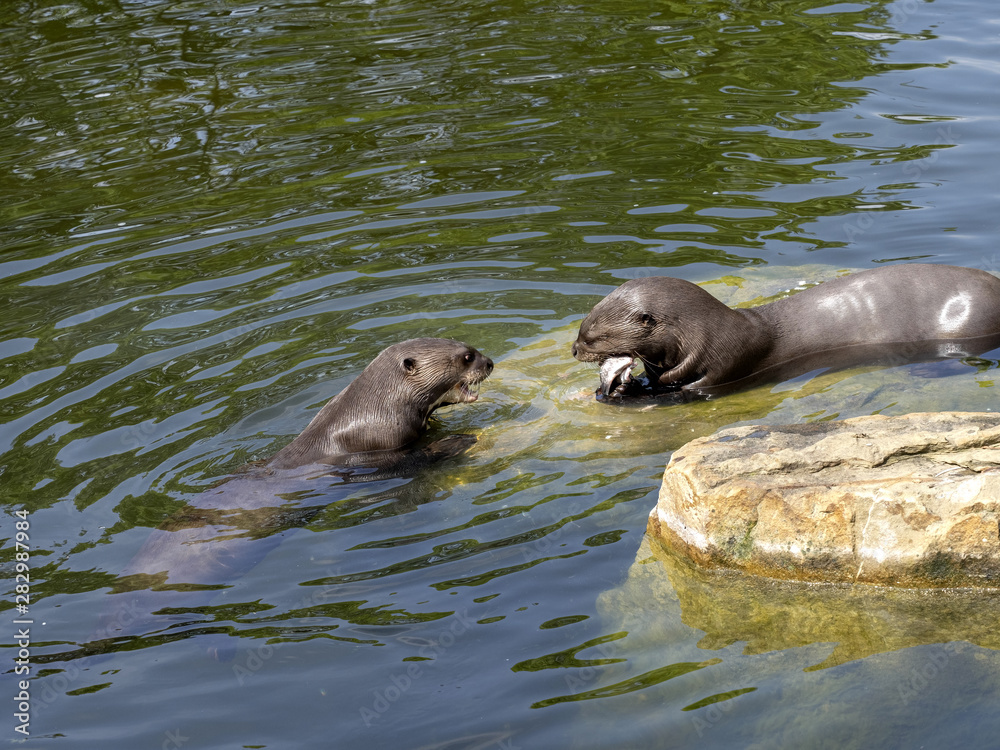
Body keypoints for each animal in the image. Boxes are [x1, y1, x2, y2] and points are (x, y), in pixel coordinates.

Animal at [573, 264, 1000, 398]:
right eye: (582, 328)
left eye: (594, 336)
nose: (575, 350)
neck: (707, 334)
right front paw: (630, 386)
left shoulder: (728, 361)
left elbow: (694, 386)